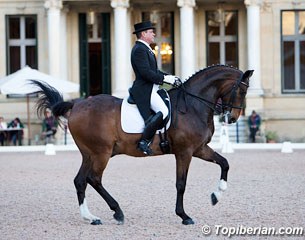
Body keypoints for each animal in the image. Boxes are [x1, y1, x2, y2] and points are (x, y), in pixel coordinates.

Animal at [31, 64, 252, 225]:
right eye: (241, 90)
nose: (232, 118)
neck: (193, 105)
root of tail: (77, 104)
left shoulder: (199, 149)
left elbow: (224, 163)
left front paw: (216, 195)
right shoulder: (185, 152)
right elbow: (181, 184)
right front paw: (184, 216)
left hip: (89, 153)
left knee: (80, 181)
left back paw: (91, 217)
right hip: (102, 153)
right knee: (94, 179)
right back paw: (117, 212)